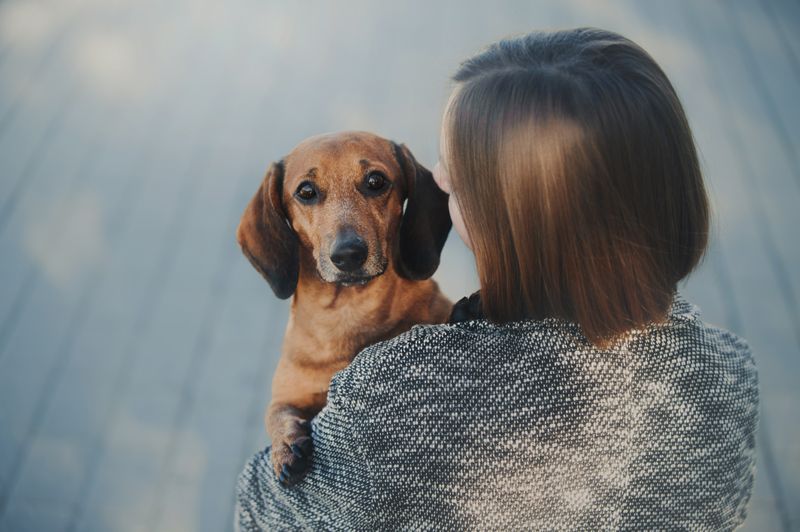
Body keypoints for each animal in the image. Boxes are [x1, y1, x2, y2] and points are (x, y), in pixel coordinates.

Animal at [234, 131, 454, 484]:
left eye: (376, 181)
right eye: (306, 191)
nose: (348, 254)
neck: (347, 312)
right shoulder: (287, 395)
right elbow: (276, 413)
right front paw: (285, 445)